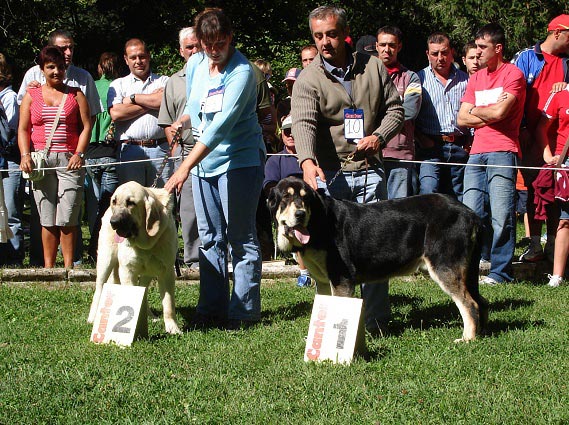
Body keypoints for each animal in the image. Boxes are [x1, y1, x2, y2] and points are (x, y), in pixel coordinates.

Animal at [87, 181, 181, 332]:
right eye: (114, 201)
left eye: (131, 203)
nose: (113, 222)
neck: (146, 244)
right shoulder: (127, 271)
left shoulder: (166, 272)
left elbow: (168, 304)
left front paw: (172, 328)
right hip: (105, 261)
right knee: (99, 287)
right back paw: (92, 317)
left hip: (148, 273)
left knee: (143, 290)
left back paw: (150, 316)